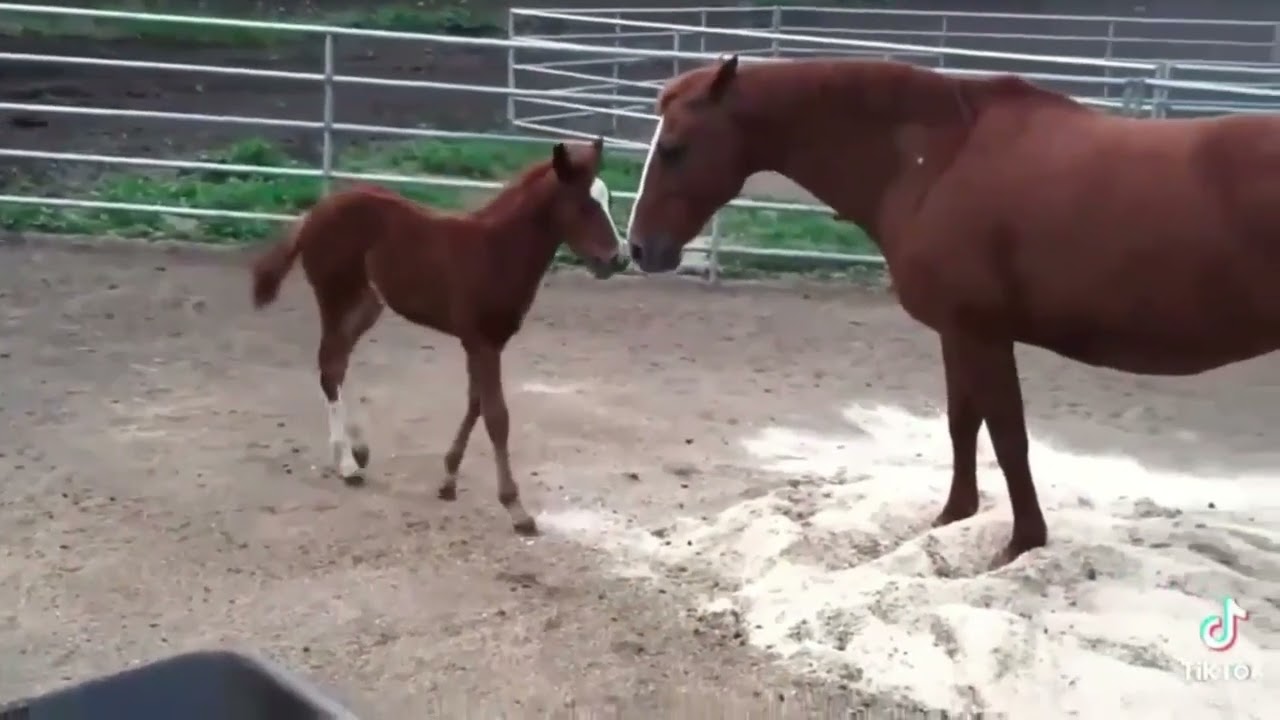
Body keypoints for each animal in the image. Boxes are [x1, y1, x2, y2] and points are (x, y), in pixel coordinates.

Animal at [250, 137, 627, 536]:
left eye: (608, 200)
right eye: (585, 205)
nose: (619, 259)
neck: (497, 250)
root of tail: (314, 212)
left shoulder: (483, 343)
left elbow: (475, 404)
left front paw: (448, 480)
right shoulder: (483, 343)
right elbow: (497, 417)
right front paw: (516, 508)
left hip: (366, 306)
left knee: (337, 364)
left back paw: (358, 451)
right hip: (335, 297)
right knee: (329, 365)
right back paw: (347, 464)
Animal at [625, 54, 1280, 567]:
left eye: (675, 149)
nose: (638, 248)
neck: (935, 159)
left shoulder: (982, 334)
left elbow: (1009, 436)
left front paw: (1021, 543)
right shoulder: (956, 331)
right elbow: (963, 424)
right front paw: (954, 515)